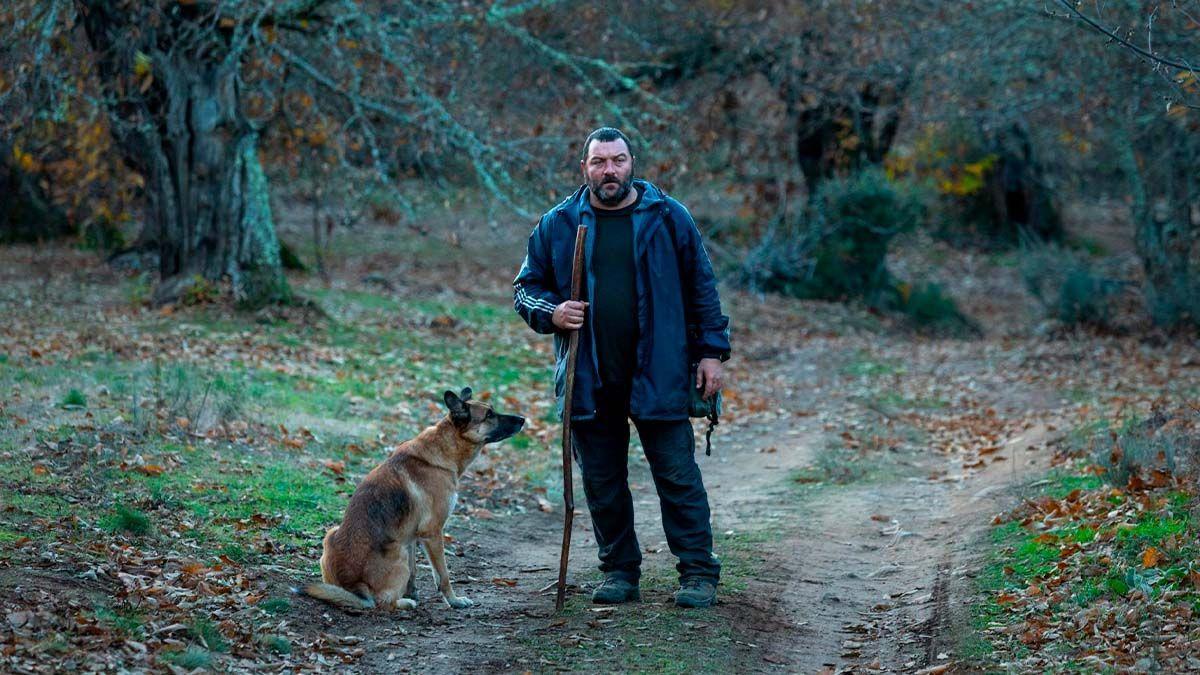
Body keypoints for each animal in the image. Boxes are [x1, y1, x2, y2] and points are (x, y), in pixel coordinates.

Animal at [302, 384, 523, 610]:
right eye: (489, 415)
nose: (523, 420)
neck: (446, 447)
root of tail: (354, 586)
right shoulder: (432, 532)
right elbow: (442, 575)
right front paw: (454, 600)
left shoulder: (411, 536)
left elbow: (414, 572)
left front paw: (414, 592)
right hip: (397, 550)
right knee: (382, 602)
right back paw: (405, 603)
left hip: (334, 533)